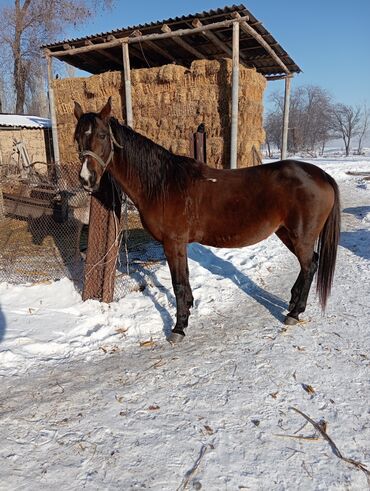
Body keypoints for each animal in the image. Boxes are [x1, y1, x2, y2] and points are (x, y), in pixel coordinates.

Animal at [73, 98, 342, 344]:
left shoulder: (173, 242)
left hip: (301, 236)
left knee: (309, 266)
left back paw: (294, 313)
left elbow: (179, 283)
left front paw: (179, 328)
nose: (87, 179)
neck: (162, 183)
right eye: (77, 138)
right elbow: (184, 281)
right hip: (286, 233)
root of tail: (321, 174)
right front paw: (187, 313)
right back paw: (293, 304)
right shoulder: (178, 244)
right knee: (309, 265)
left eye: (102, 135)